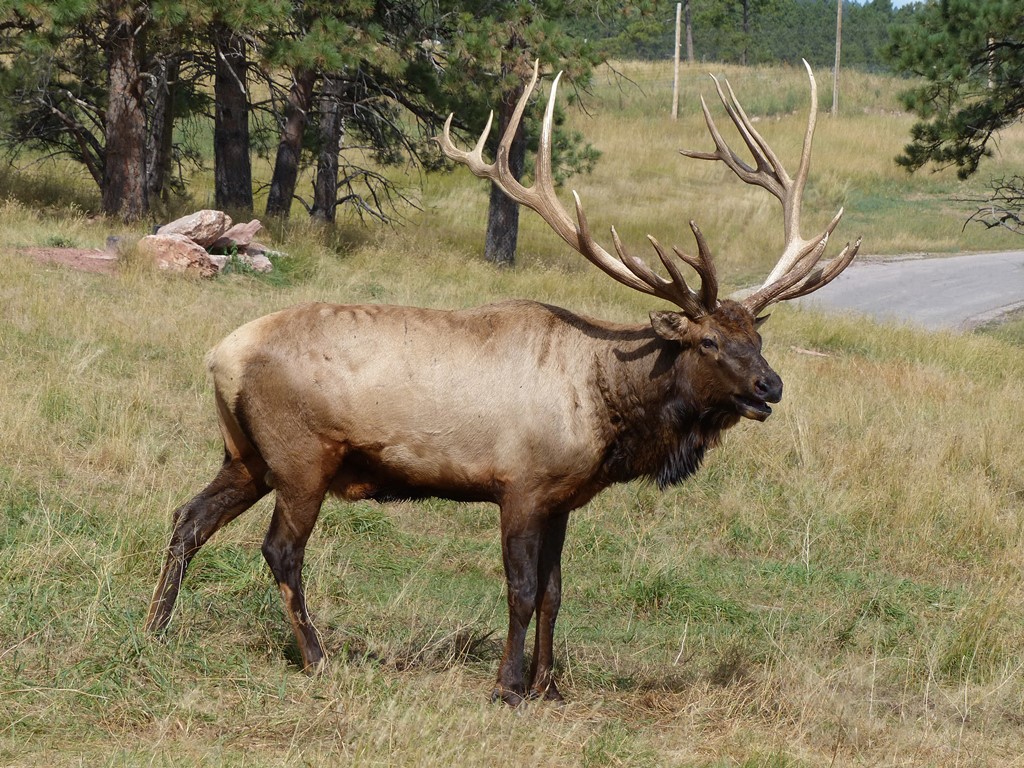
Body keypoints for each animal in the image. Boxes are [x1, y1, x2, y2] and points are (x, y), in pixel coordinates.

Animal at [148, 60, 860, 708]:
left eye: (756, 337)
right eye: (708, 341)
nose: (770, 386)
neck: (604, 408)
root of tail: (220, 356)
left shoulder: (563, 499)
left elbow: (554, 591)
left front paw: (550, 685)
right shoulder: (519, 485)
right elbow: (519, 590)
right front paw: (509, 686)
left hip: (246, 454)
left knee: (189, 518)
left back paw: (156, 627)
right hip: (301, 456)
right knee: (281, 550)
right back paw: (317, 656)